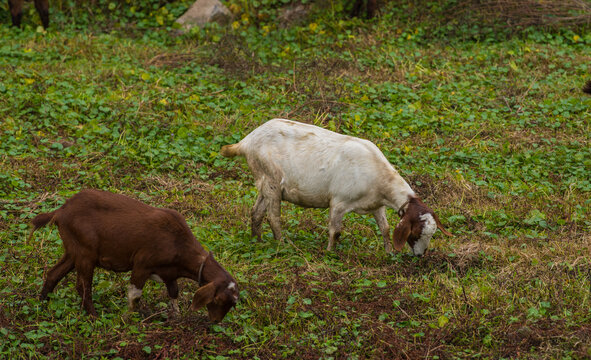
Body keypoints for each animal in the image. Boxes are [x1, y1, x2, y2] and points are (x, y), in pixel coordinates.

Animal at [29, 190, 238, 322]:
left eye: (233, 304)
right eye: (219, 300)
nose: (216, 321)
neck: (179, 244)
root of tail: (61, 211)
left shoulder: (169, 273)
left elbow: (174, 292)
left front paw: (176, 317)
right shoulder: (142, 264)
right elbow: (135, 295)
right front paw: (127, 318)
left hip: (73, 249)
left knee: (54, 273)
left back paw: (42, 304)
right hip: (85, 253)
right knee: (82, 286)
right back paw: (95, 317)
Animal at [222, 119, 454, 256]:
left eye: (432, 233)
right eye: (416, 232)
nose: (421, 255)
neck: (378, 177)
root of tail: (247, 141)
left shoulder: (376, 205)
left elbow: (385, 228)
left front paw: (389, 252)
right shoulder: (339, 202)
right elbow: (335, 231)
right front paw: (329, 253)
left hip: (265, 182)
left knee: (256, 211)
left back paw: (257, 241)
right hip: (271, 179)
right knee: (273, 216)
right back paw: (283, 244)